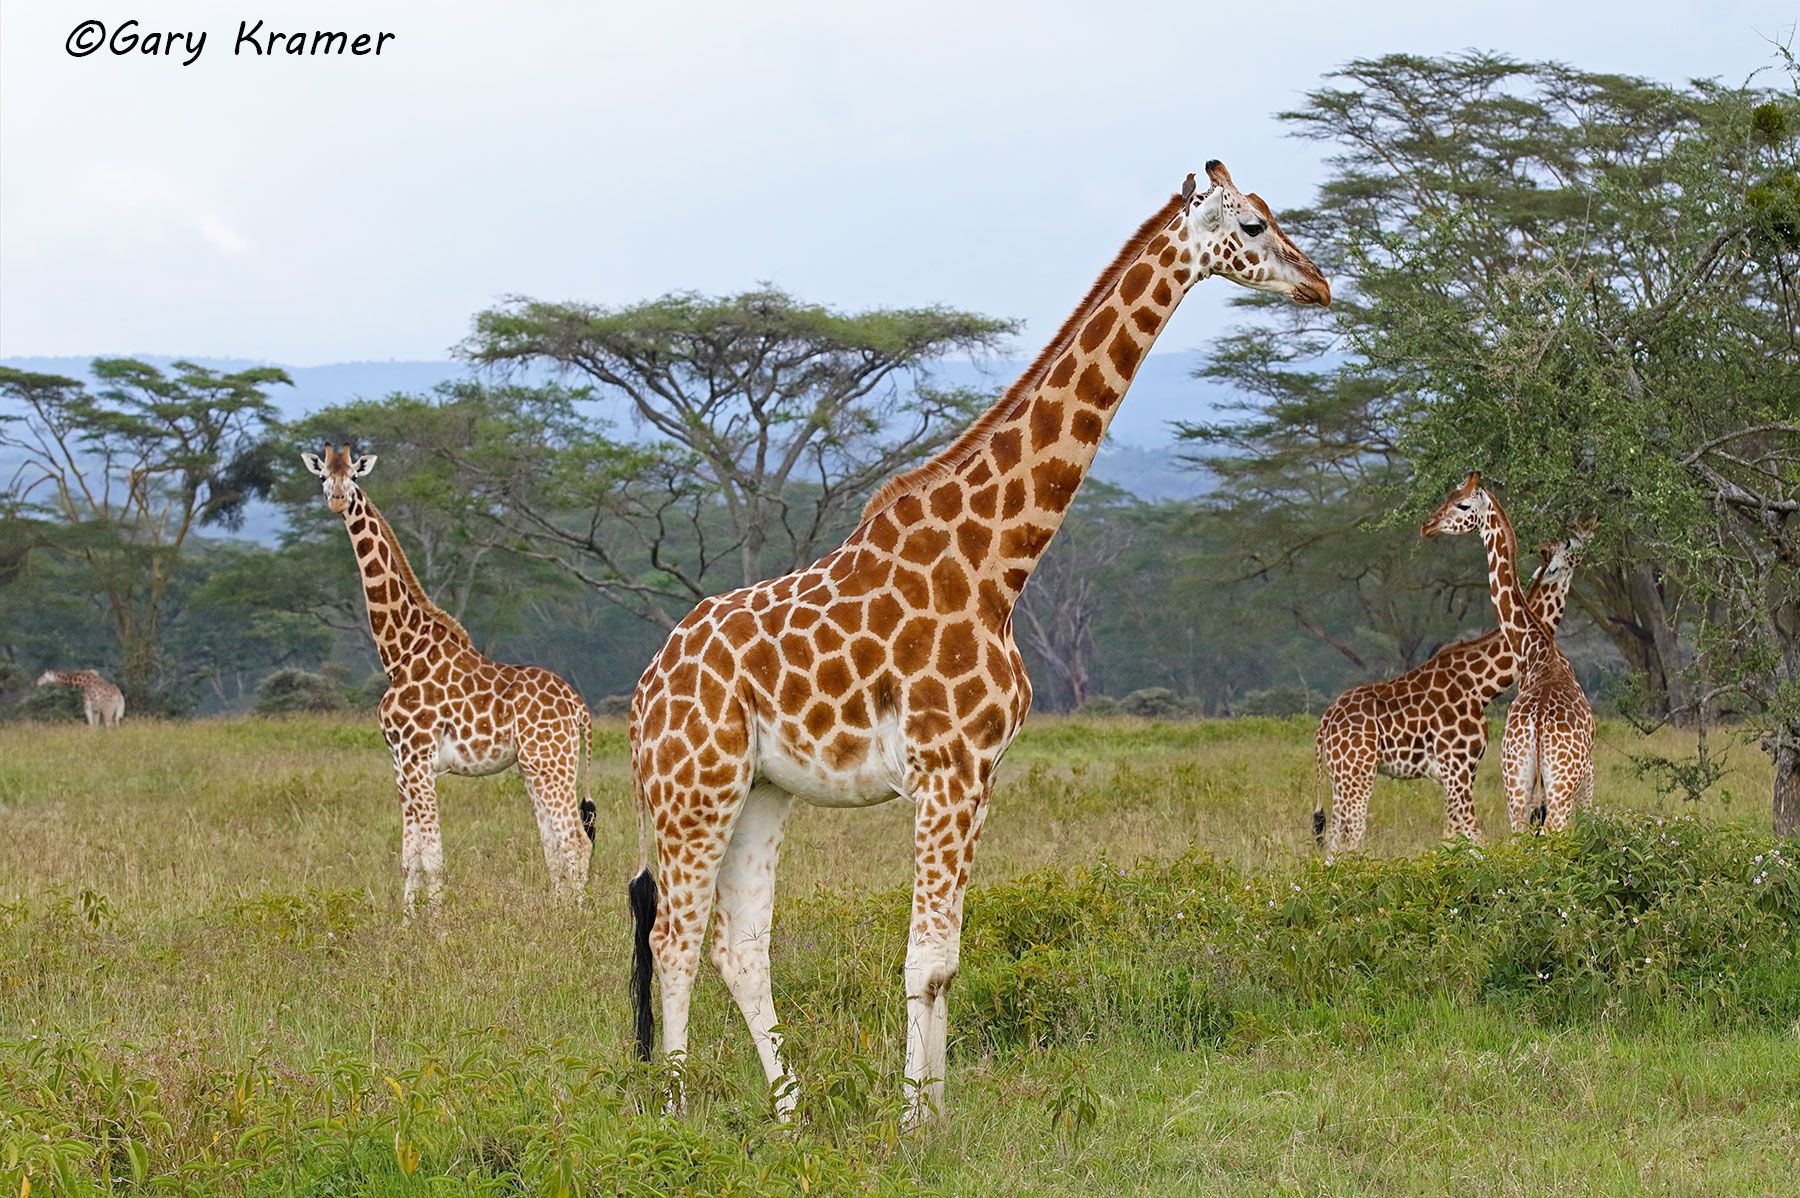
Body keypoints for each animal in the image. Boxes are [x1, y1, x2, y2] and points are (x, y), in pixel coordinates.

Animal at [301, 444, 597, 916]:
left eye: (353, 476)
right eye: (324, 476)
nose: (337, 499)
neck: (400, 652)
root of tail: (578, 705)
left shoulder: (419, 758)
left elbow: (433, 855)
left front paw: (437, 924)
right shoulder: (399, 761)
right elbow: (410, 854)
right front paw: (407, 922)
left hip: (550, 762)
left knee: (575, 840)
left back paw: (576, 919)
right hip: (540, 765)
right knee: (555, 843)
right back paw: (557, 913)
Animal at [623, 162, 1329, 1125]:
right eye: (1253, 227)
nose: (1319, 284)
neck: (998, 564)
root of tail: (643, 692)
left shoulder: (980, 773)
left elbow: (948, 961)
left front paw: (936, 1111)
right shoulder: (947, 767)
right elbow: (926, 959)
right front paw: (914, 1122)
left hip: (760, 792)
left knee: (739, 946)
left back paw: (791, 1114)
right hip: (692, 787)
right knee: (674, 935)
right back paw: (676, 1113)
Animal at [1312, 526, 1593, 853]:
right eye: (1568, 546)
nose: (1587, 534)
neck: (1480, 684)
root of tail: (1326, 720)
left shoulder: (1454, 774)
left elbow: (1450, 836)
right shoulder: (1460, 766)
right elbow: (1470, 837)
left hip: (1340, 776)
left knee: (1333, 841)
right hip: (1357, 774)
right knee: (1352, 838)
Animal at [1421, 472, 1596, 833]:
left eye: (1461, 503)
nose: (1427, 525)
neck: (1537, 650)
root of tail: (1539, 725)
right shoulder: (1589, 772)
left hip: (1515, 779)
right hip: (1559, 783)